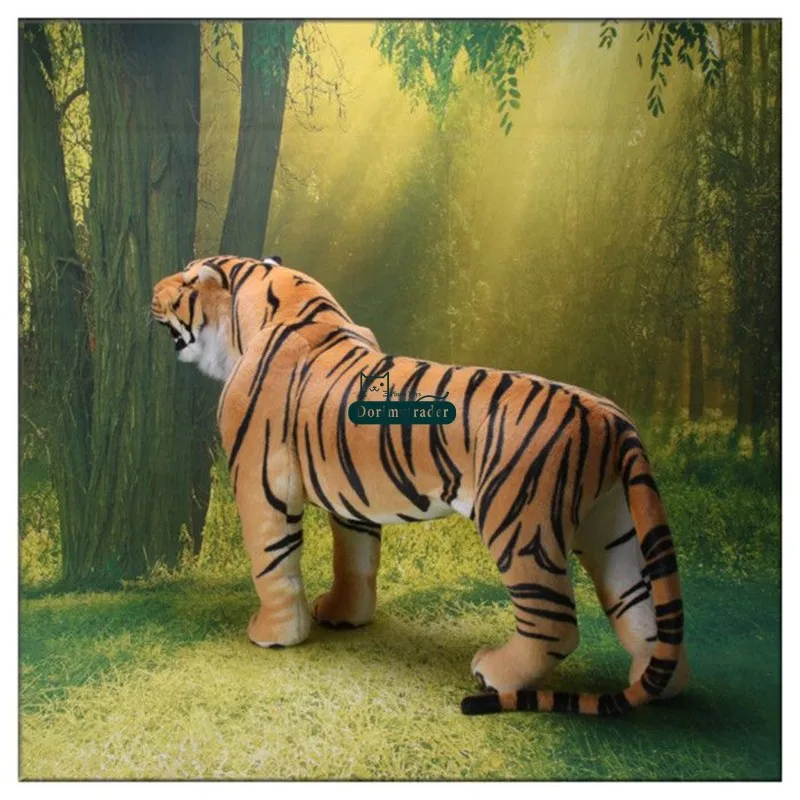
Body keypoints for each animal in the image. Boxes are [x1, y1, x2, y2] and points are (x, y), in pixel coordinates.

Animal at [151, 254, 689, 716]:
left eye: (184, 279)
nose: (152, 290)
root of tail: (611, 417)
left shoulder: (259, 479)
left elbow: (272, 562)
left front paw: (274, 634)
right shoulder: (350, 493)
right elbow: (355, 559)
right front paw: (345, 615)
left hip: (521, 530)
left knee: (554, 624)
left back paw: (494, 672)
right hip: (613, 528)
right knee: (644, 611)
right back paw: (661, 685)